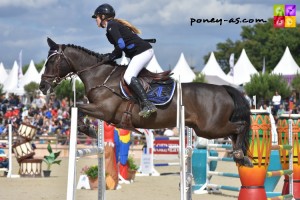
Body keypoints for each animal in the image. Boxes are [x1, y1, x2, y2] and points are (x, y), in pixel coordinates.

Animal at [38, 38, 253, 167]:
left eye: (51, 62)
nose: (42, 86)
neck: (101, 76)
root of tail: (224, 88)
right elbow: (78, 108)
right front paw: (90, 130)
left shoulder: (104, 110)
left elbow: (76, 108)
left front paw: (88, 130)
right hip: (207, 128)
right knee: (235, 132)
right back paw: (242, 157)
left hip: (210, 127)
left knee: (240, 126)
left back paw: (239, 155)